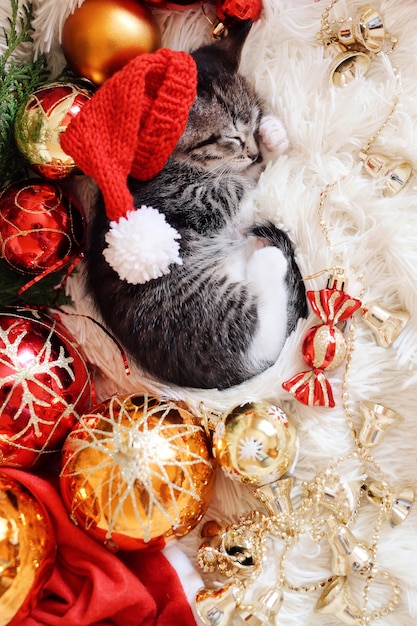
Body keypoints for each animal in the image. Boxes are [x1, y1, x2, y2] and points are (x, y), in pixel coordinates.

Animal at [85, 23, 306, 386]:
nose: (253, 151)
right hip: (205, 311)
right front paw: (267, 151)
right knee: (261, 340)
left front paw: (270, 135)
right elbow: (242, 187)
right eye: (231, 138)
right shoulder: (194, 199)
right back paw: (269, 260)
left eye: (253, 120)